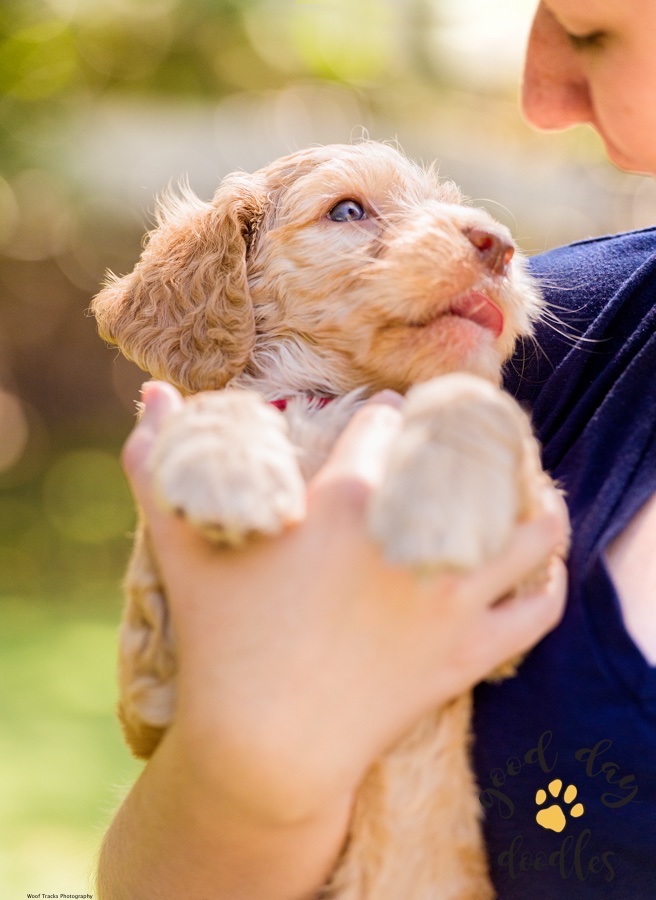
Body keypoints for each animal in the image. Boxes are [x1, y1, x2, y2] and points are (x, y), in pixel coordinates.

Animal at [91, 142, 548, 900]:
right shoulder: (149, 681)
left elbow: (472, 398)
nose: (500, 246)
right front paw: (229, 470)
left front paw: (443, 505)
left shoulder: (535, 573)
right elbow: (224, 400)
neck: (334, 396)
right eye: (347, 210)